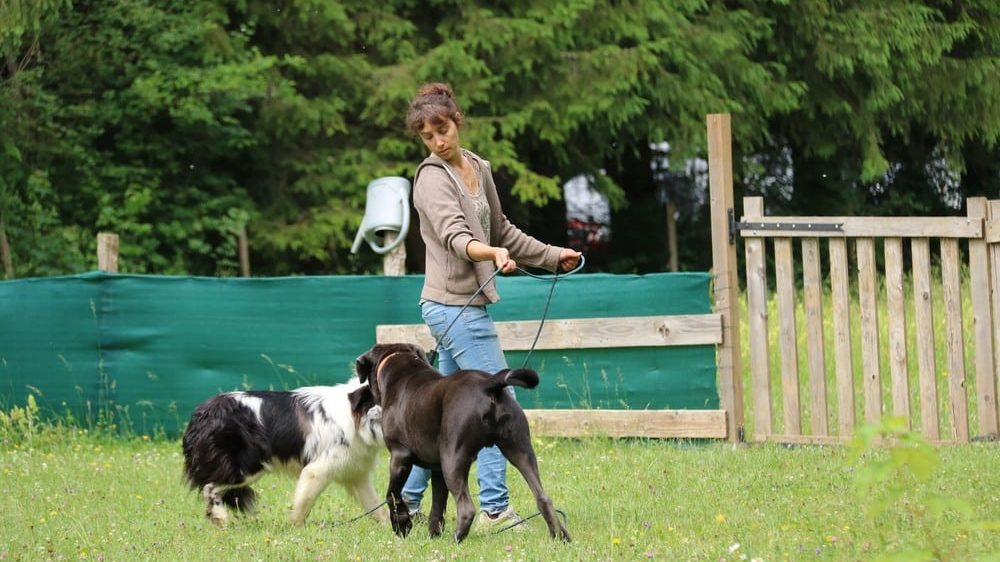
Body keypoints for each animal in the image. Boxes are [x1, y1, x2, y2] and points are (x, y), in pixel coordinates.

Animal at [356, 340, 572, 540]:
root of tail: (488, 384)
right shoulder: (437, 469)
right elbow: (437, 507)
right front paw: (433, 537)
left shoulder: (400, 456)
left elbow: (392, 495)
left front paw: (402, 525)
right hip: (520, 450)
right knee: (543, 497)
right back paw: (560, 537)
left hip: (453, 458)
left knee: (467, 508)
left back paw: (456, 539)